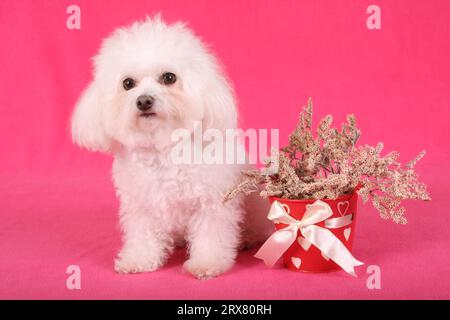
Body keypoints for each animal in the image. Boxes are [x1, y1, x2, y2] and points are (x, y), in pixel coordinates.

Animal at [71, 16, 270, 278]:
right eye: (127, 83)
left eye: (169, 78)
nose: (144, 100)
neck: (163, 149)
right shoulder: (141, 206)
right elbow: (142, 235)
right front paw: (139, 259)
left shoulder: (211, 204)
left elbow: (211, 236)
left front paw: (206, 263)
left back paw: (248, 238)